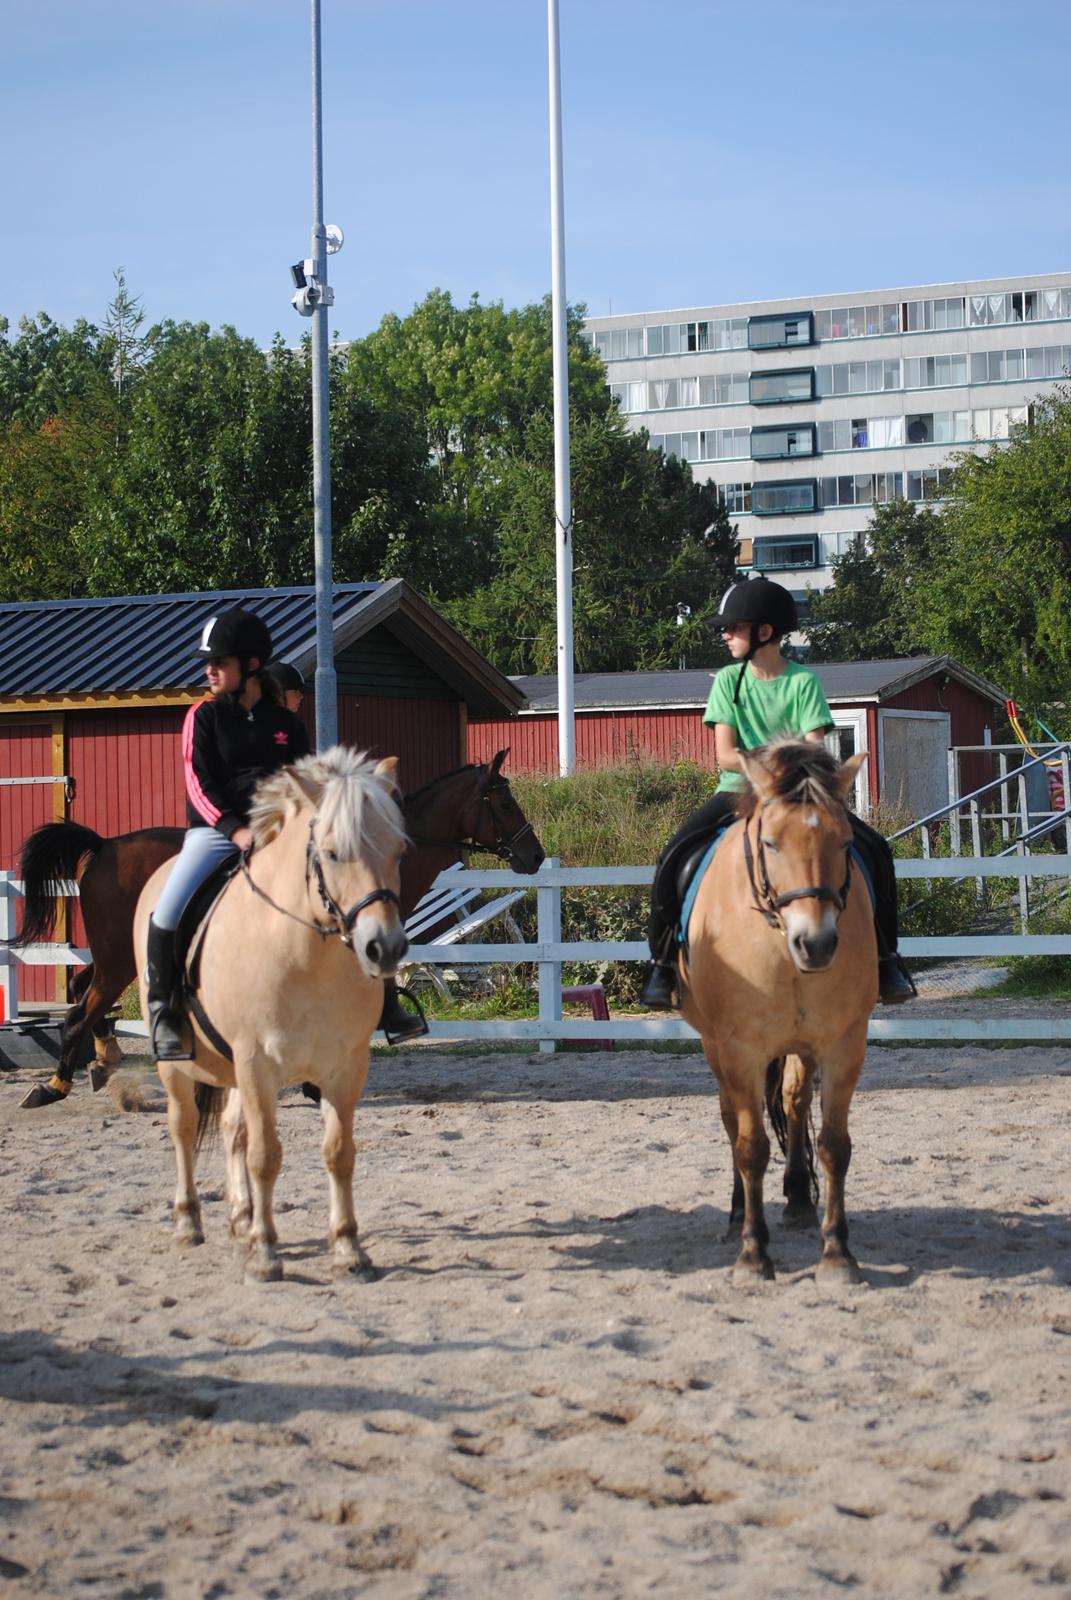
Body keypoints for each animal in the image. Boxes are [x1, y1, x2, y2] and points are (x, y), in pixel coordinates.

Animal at [10, 752, 544, 1107]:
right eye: (506, 804)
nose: (535, 856)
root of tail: (104, 845)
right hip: (121, 956)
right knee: (81, 1009)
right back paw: (55, 1084)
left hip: (116, 954)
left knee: (84, 991)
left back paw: (105, 1059)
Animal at [136, 748, 409, 1286]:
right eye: (332, 853)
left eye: (398, 852)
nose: (384, 948)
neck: (306, 954)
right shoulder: (256, 1062)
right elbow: (265, 1156)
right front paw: (266, 1255)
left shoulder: (346, 1067)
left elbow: (339, 1153)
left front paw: (347, 1250)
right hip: (179, 1066)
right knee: (183, 1127)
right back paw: (189, 1221)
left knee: (231, 1130)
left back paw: (241, 1219)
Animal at [675, 739, 877, 1286]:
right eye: (769, 843)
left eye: (845, 842)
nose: (817, 943)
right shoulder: (739, 1048)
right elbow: (750, 1146)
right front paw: (752, 1253)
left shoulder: (843, 1044)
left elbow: (834, 1145)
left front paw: (837, 1253)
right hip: (716, 1046)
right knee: (733, 1121)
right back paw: (736, 1214)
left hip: (800, 1047)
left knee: (793, 1103)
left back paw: (798, 1201)